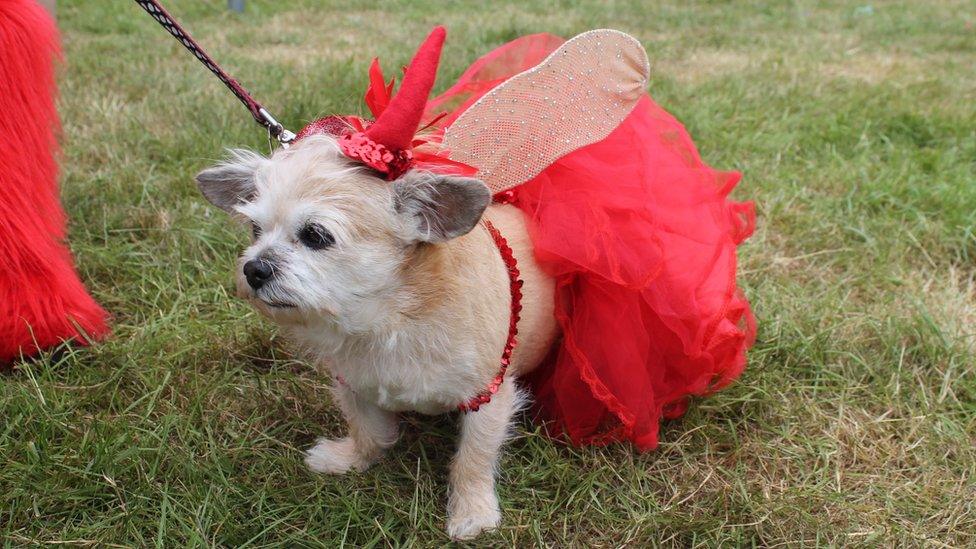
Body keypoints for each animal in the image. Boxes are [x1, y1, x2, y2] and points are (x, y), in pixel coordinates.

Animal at [194, 135, 556, 536]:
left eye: (315, 235)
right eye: (255, 231)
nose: (253, 268)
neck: (392, 319)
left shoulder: (488, 397)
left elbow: (473, 459)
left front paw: (472, 510)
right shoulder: (356, 385)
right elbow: (368, 432)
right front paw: (351, 460)